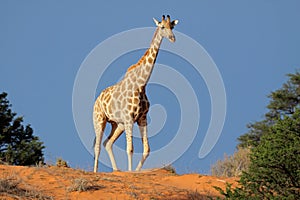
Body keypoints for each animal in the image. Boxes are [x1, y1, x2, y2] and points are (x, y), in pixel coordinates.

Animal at [93, 15, 178, 172]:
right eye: (162, 27)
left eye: (172, 27)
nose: (172, 38)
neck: (141, 85)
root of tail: (97, 100)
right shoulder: (129, 118)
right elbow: (130, 149)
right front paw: (130, 171)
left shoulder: (142, 118)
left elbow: (147, 149)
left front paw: (137, 171)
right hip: (99, 119)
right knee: (97, 146)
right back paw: (95, 172)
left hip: (117, 124)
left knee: (107, 143)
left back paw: (116, 170)